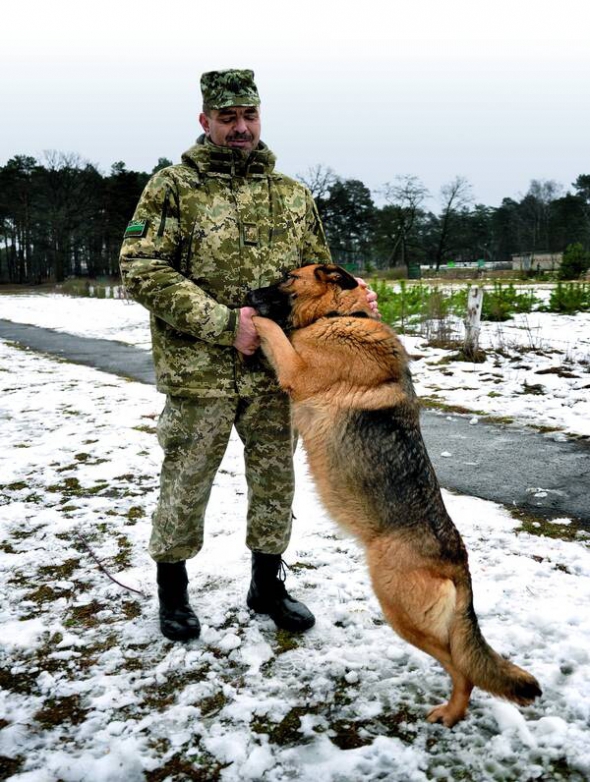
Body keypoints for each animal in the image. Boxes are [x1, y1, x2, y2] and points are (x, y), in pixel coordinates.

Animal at [247, 264, 544, 728]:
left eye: (289, 277)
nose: (246, 293)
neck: (340, 315)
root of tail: (457, 560)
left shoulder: (295, 369)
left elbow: (273, 331)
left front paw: (248, 319)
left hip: (399, 608)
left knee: (462, 668)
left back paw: (450, 713)